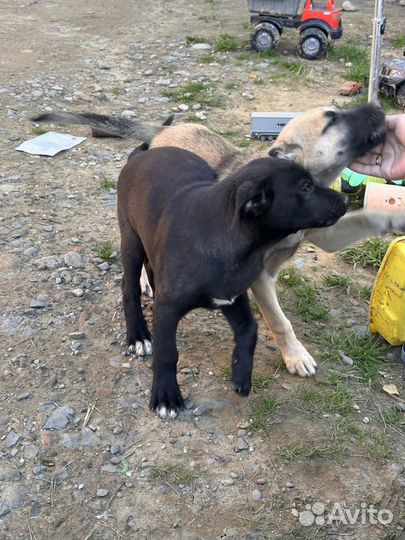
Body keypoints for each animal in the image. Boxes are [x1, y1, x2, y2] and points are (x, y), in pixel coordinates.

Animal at [117, 149, 348, 422]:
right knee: (129, 287)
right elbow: (167, 352)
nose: (346, 199)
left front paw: (241, 373)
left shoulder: (232, 295)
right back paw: (138, 335)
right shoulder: (168, 307)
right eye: (306, 187)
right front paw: (167, 397)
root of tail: (140, 154)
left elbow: (250, 329)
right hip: (131, 238)